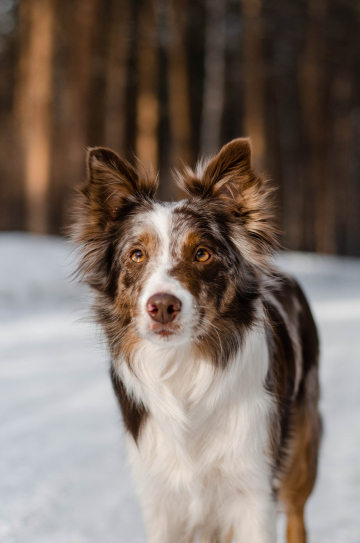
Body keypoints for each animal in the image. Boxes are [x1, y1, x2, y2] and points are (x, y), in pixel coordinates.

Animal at [72, 138, 320, 540]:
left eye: (202, 254)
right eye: (136, 255)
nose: (162, 306)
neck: (181, 368)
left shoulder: (253, 490)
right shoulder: (162, 498)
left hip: (301, 449)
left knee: (297, 515)